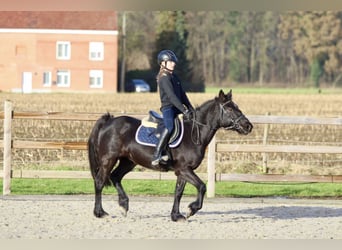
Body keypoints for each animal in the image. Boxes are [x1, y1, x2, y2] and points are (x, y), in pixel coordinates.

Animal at [87, 89, 254, 222]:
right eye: (230, 109)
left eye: (237, 107)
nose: (248, 126)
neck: (194, 133)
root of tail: (108, 121)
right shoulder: (184, 169)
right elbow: (202, 187)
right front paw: (191, 209)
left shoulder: (182, 171)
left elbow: (178, 192)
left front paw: (176, 215)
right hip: (108, 160)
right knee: (100, 182)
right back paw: (100, 213)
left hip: (128, 161)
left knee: (115, 176)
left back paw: (123, 205)